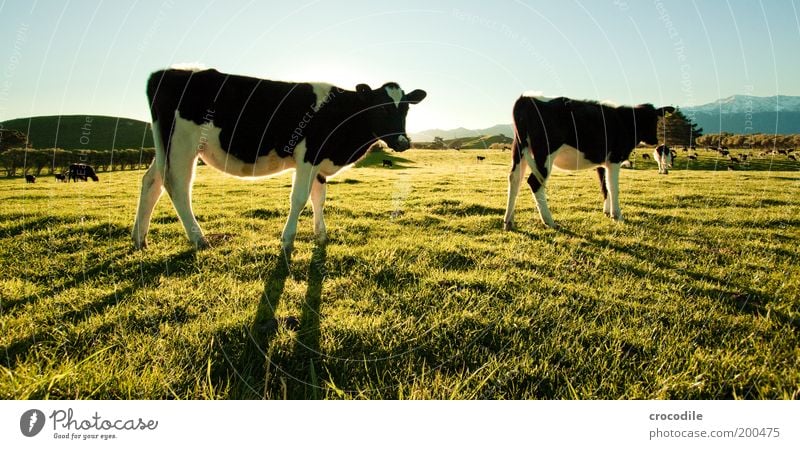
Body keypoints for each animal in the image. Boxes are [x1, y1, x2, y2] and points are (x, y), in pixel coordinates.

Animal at [133, 65, 424, 252]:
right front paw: (287, 239)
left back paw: (139, 239)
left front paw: (321, 235)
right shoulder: (307, 156)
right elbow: (299, 198)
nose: (403, 142)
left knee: (151, 182)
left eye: (406, 108)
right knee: (177, 186)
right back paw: (198, 239)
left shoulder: (319, 162)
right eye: (382, 108)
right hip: (181, 144)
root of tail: (166, 72)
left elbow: (319, 198)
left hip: (164, 145)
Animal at [504, 94, 672, 228]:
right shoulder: (615, 158)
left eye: (655, 118)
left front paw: (607, 211)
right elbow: (613, 188)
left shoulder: (603, 163)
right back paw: (549, 221)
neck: (624, 122)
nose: (654, 140)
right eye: (649, 120)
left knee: (514, 179)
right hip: (545, 153)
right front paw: (617, 215)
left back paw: (509, 221)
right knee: (534, 182)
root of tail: (526, 98)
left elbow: (605, 186)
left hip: (519, 150)